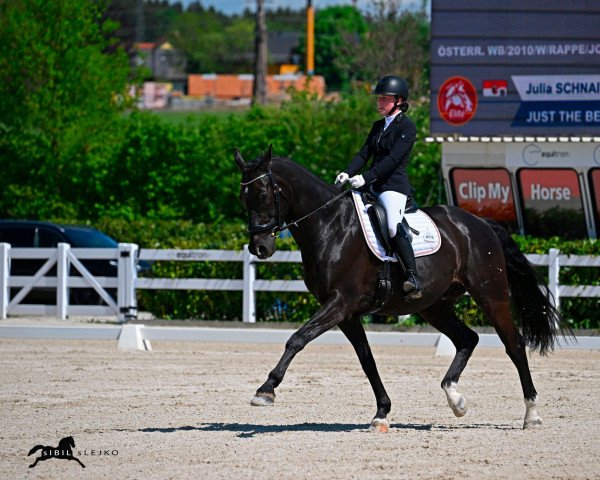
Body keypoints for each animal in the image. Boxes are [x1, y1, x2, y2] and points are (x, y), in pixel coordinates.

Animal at [233, 145, 568, 432]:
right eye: (242, 197)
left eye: (262, 193)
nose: (259, 248)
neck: (329, 225)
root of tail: (481, 223)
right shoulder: (347, 313)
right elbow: (367, 359)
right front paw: (381, 413)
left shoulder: (340, 302)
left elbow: (297, 339)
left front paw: (265, 390)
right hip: (433, 305)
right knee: (467, 339)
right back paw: (456, 400)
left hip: (491, 296)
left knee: (514, 345)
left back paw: (531, 414)